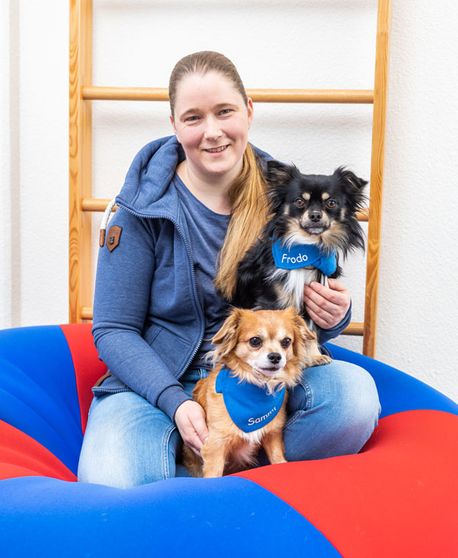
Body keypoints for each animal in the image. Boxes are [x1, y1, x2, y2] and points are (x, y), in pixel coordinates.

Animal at [184, 308, 330, 480]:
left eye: (286, 341)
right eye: (255, 341)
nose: (275, 356)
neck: (258, 387)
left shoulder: (273, 436)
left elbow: (278, 459)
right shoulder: (215, 445)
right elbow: (214, 475)